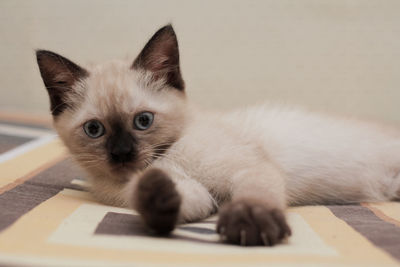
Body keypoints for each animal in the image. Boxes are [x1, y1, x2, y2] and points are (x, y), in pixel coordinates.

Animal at [35, 24, 400, 247]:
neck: (169, 157)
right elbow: (169, 201)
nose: (122, 153)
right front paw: (154, 194)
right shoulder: (199, 198)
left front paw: (250, 224)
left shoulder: (248, 168)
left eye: (143, 121)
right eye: (95, 129)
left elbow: (253, 196)